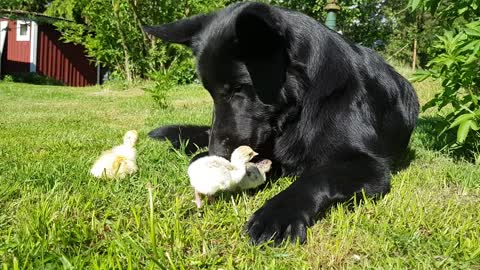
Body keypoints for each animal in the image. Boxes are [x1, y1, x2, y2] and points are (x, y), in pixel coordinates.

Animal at [144, 2, 418, 245]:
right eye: (209, 92)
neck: (305, 102)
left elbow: (317, 177)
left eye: (238, 88)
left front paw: (277, 214)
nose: (217, 154)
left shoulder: (369, 164)